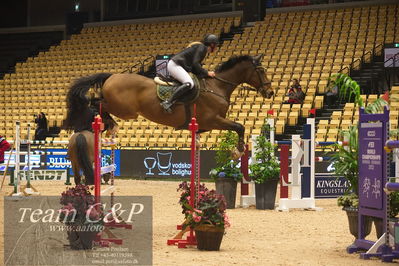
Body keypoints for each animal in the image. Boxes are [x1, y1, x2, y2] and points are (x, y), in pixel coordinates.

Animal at [63, 54, 276, 154]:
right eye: (262, 71)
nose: (270, 92)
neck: (217, 86)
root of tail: (112, 75)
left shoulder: (205, 125)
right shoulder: (214, 120)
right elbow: (239, 127)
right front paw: (239, 151)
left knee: (96, 102)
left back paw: (108, 124)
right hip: (125, 110)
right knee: (95, 102)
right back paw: (108, 123)